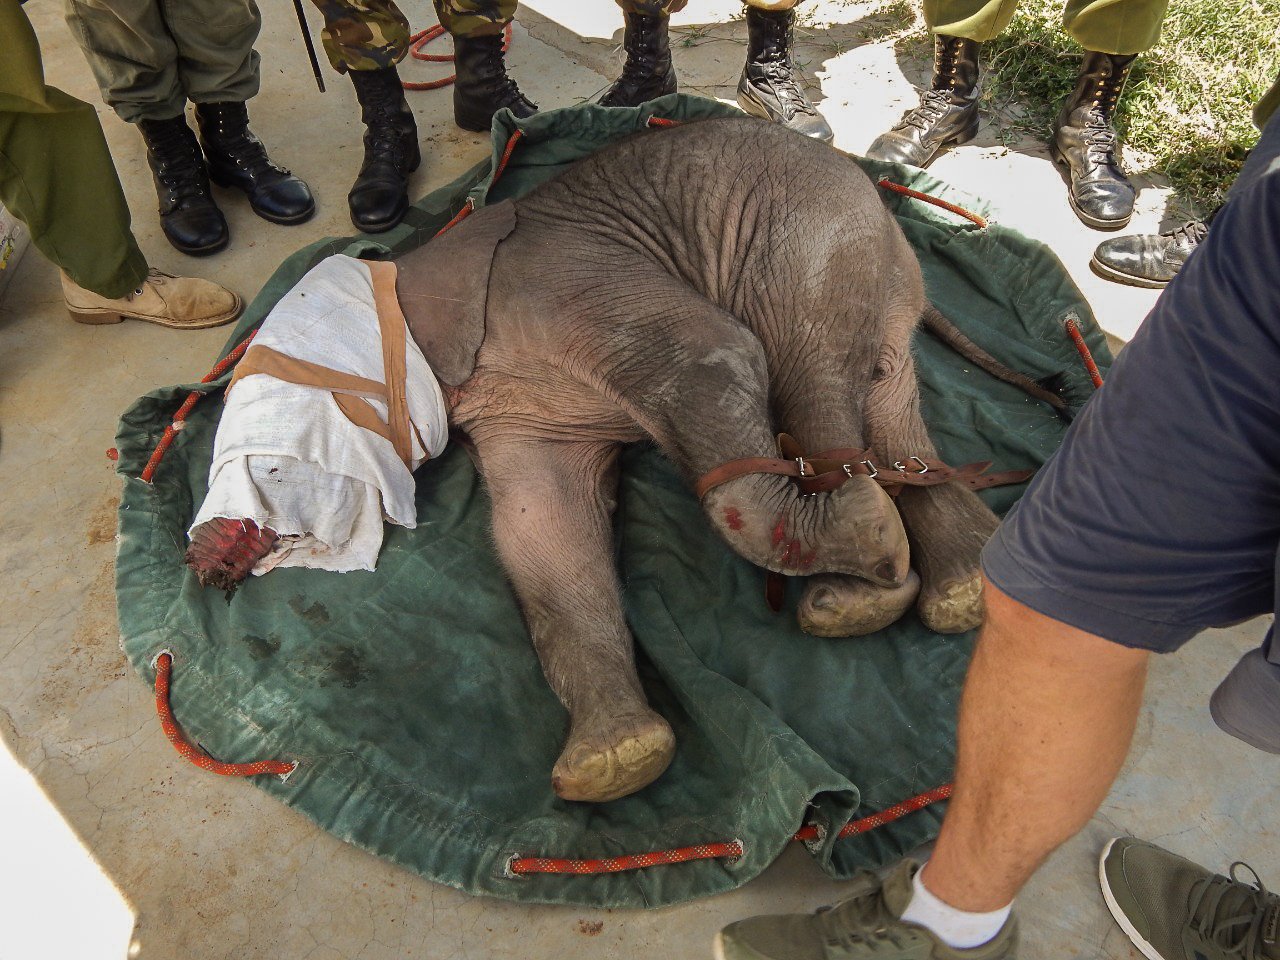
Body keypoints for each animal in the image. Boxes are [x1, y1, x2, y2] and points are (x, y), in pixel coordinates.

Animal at [188, 116, 1048, 804]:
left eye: (269, 464)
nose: (204, 555)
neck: (405, 272)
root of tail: (889, 213)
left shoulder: (550, 282)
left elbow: (709, 357)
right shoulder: (516, 406)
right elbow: (543, 526)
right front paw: (616, 764)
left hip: (805, 232)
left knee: (805, 364)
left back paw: (860, 580)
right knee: (889, 403)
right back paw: (957, 592)